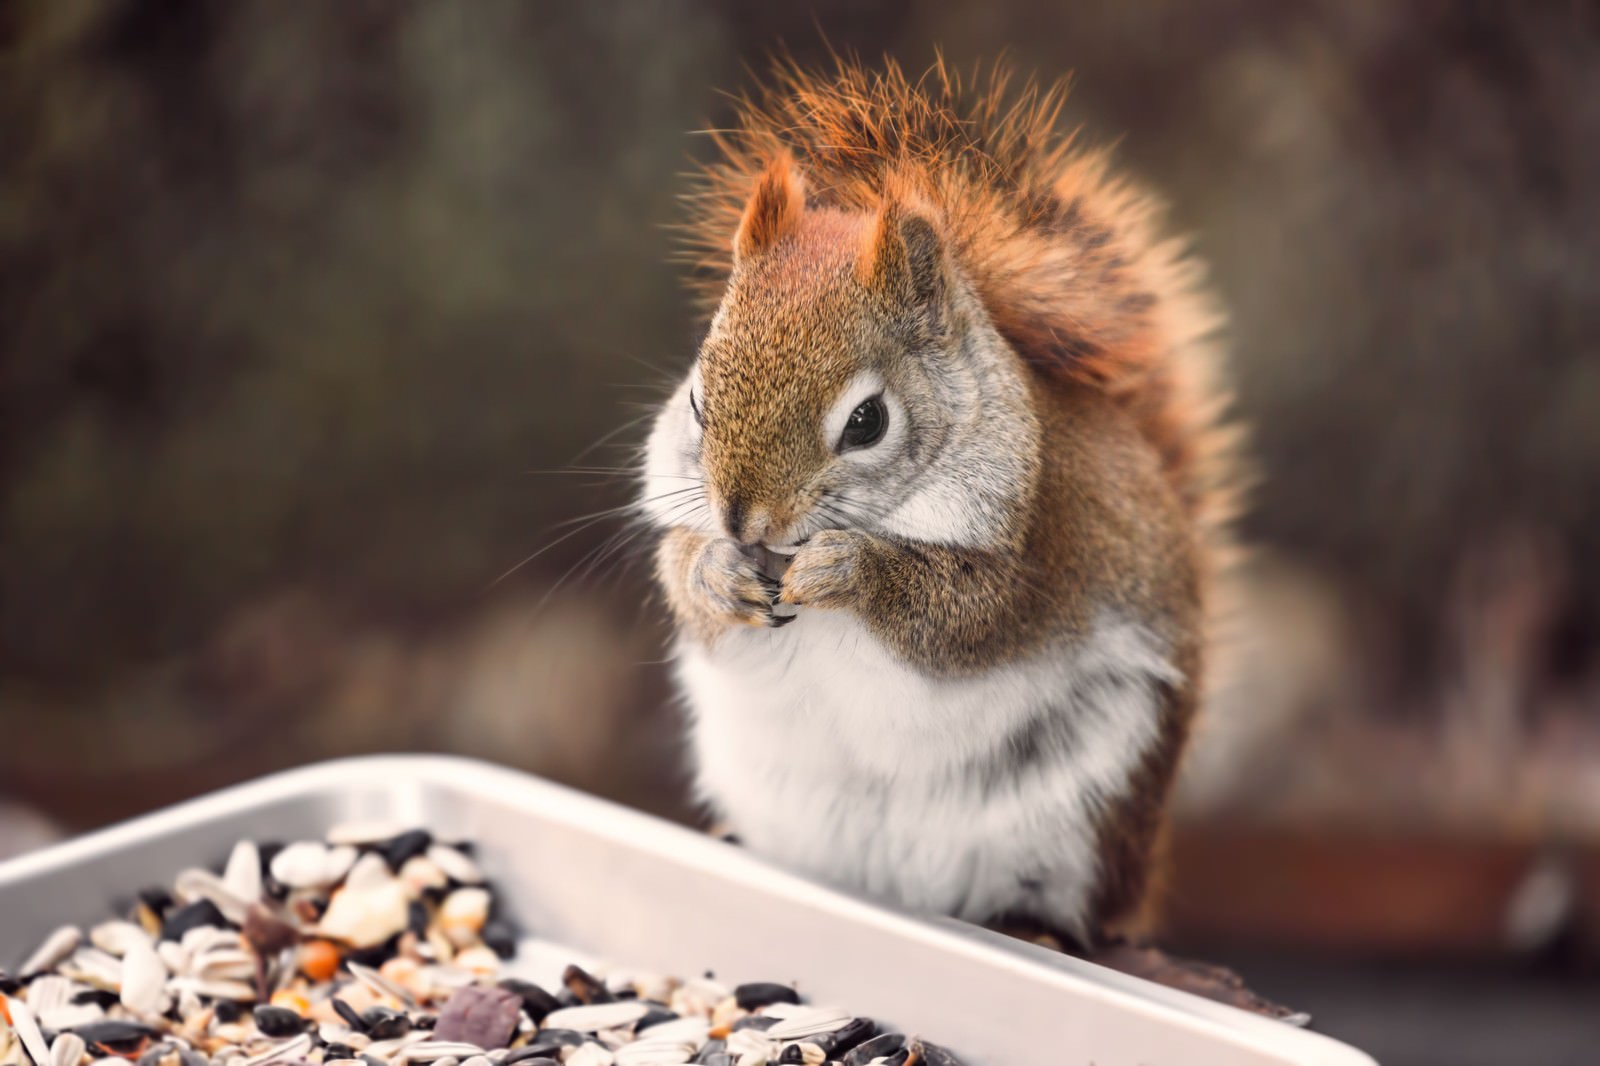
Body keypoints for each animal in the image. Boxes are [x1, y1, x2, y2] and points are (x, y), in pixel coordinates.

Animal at [636, 56, 1235, 947]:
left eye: (868, 421)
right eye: (699, 403)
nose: (744, 521)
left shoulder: (1038, 552)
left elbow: (963, 619)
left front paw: (850, 570)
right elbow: (679, 575)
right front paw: (715, 571)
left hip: (1088, 820)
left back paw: (1035, 927)